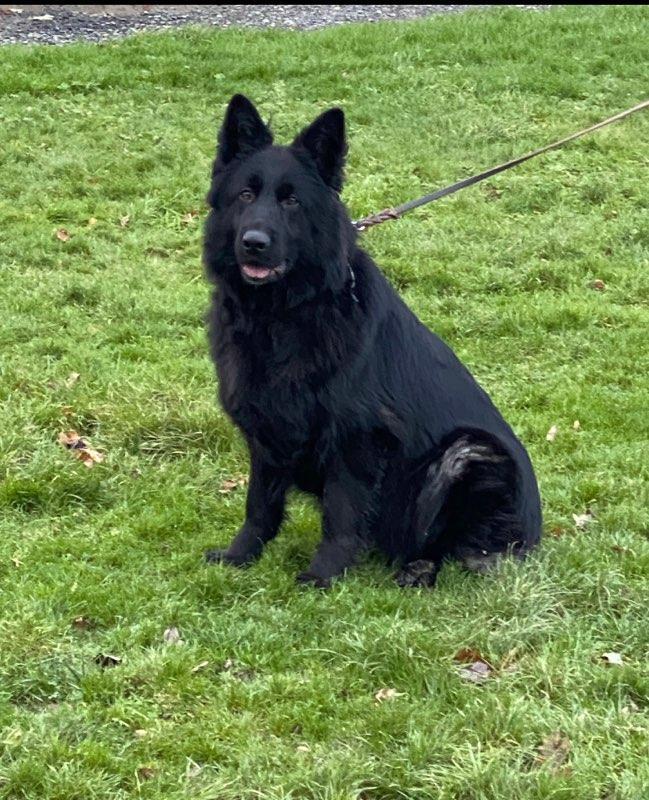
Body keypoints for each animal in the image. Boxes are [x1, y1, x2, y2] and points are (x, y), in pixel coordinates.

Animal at [202, 94, 542, 588]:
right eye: (245, 195)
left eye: (292, 201)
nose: (254, 242)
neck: (283, 315)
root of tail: (535, 535)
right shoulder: (266, 430)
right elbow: (259, 507)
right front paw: (240, 555)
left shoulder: (357, 440)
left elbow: (342, 516)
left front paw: (323, 576)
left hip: (468, 453)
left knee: (454, 546)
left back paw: (418, 569)